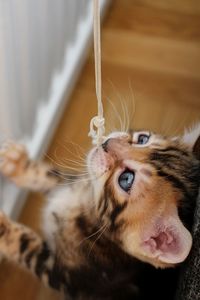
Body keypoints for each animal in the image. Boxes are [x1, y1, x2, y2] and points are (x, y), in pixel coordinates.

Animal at [0, 126, 198, 300]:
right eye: (142, 139)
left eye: (126, 179)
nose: (107, 143)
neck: (88, 206)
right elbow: (53, 176)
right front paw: (17, 165)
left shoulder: (70, 277)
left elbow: (26, 245)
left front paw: (3, 227)